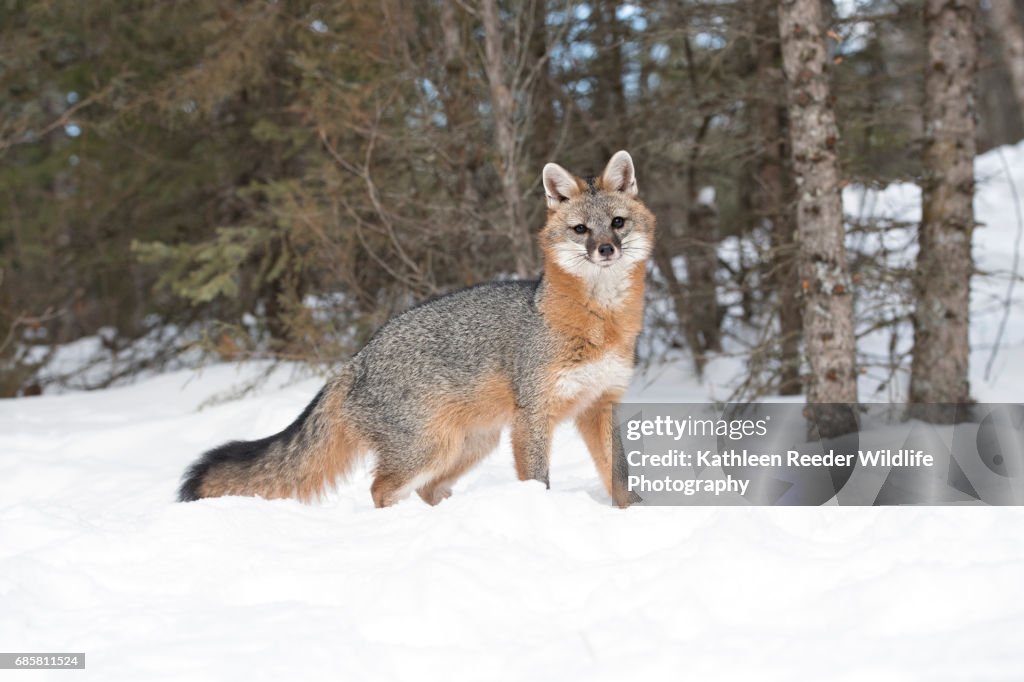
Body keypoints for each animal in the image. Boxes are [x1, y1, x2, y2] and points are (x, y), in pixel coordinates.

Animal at [178, 151, 655, 507]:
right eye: (580, 230)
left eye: (617, 223)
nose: (606, 249)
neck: (599, 325)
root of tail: (353, 362)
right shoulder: (535, 415)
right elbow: (538, 481)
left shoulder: (602, 404)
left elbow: (620, 477)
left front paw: (632, 517)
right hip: (431, 448)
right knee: (381, 489)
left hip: (468, 446)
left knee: (427, 489)